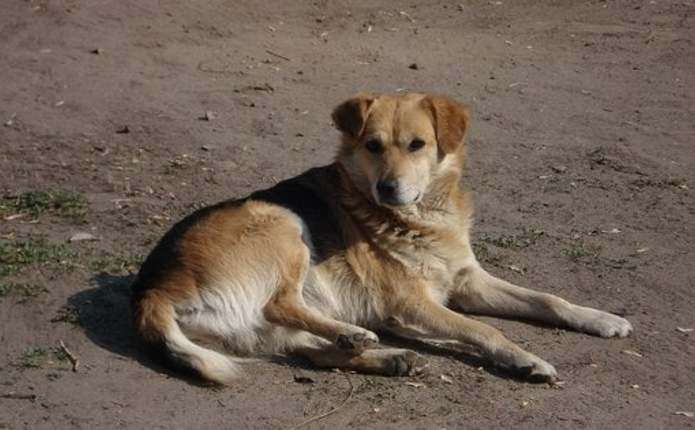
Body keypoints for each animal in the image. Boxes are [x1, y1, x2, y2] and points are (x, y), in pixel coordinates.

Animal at [131, 92, 633, 384]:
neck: (422, 216)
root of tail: (152, 290)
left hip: (265, 325)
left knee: (313, 353)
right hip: (283, 222)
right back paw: (355, 333)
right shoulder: (411, 303)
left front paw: (600, 318)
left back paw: (386, 356)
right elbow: (483, 329)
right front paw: (526, 358)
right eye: (372, 146)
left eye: (417, 145)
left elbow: (548, 299)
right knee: (281, 303)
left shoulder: (468, 282)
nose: (388, 189)